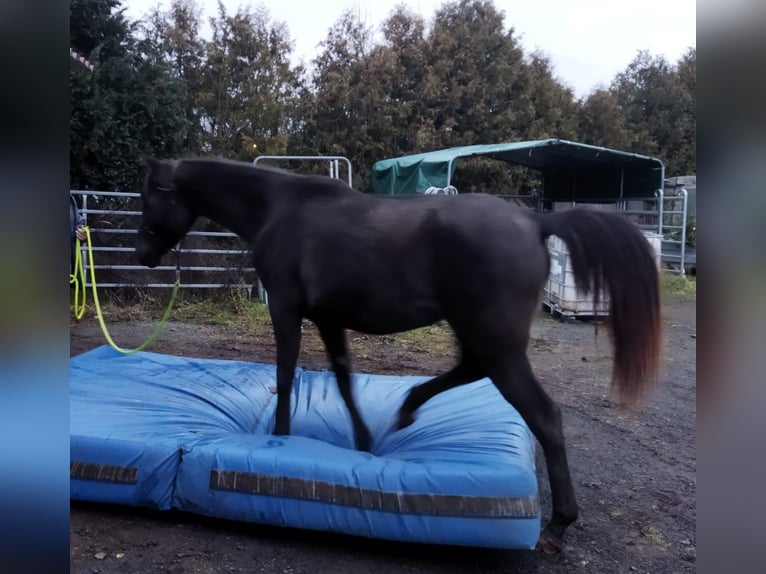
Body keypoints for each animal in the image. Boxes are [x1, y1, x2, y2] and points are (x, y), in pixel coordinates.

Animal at [135, 158, 664, 552]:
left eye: (150, 197)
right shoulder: (329, 319)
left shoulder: (286, 309)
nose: (142, 255)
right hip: (481, 335)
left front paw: (280, 439)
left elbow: (285, 373)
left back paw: (558, 525)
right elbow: (344, 378)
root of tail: (536, 220)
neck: (278, 210)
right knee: (469, 370)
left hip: (495, 341)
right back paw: (408, 409)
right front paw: (366, 442)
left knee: (544, 415)